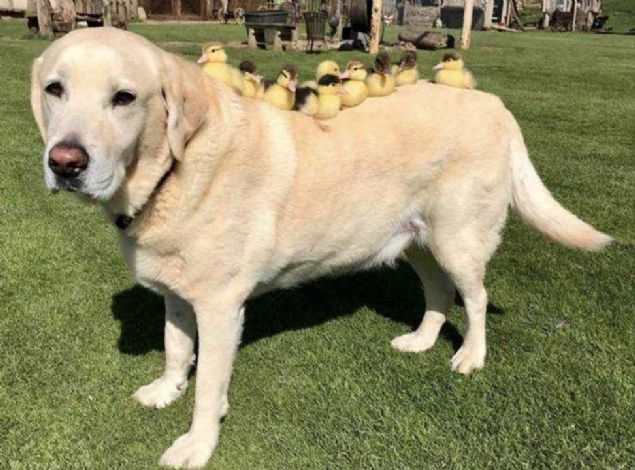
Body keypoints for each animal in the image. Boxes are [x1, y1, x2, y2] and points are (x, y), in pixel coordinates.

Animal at [31, 27, 612, 468]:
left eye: (124, 98)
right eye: (55, 90)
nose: (65, 162)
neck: (173, 170)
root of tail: (492, 102)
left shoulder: (220, 307)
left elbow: (209, 386)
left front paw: (197, 443)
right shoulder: (177, 293)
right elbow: (177, 348)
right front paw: (166, 389)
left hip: (457, 239)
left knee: (476, 298)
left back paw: (471, 356)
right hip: (415, 241)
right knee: (440, 293)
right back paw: (422, 341)